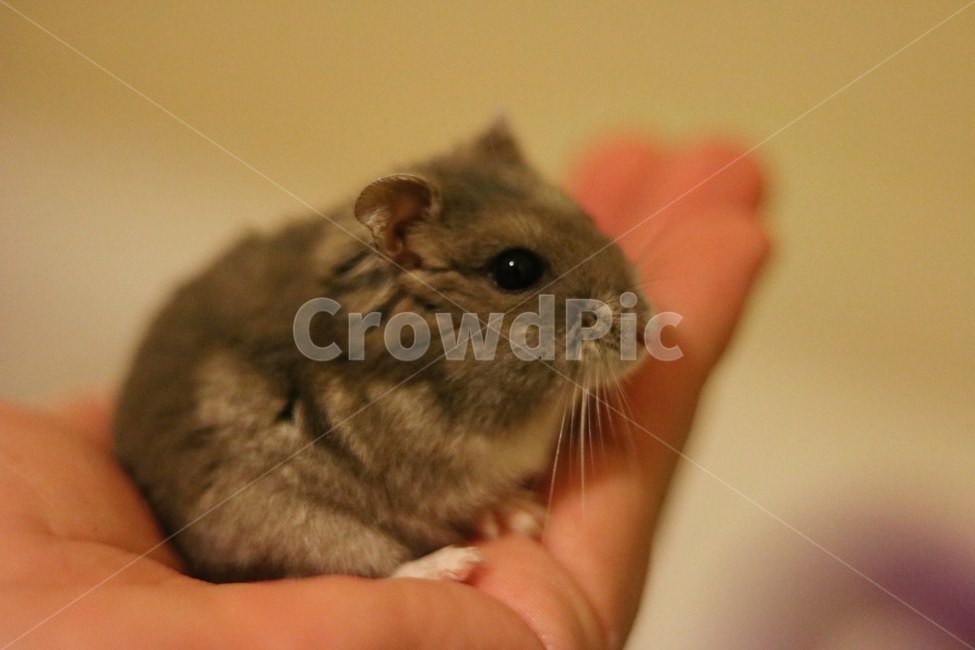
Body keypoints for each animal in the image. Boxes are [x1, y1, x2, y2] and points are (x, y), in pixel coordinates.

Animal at [114, 121, 650, 582]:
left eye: (588, 218)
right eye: (514, 269)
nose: (645, 337)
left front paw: (522, 513)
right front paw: (528, 517)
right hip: (288, 522)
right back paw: (456, 565)